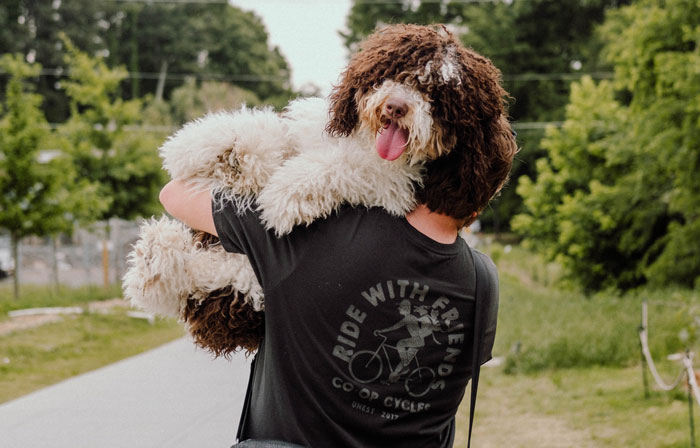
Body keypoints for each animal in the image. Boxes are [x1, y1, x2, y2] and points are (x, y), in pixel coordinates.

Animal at [124, 23, 520, 356]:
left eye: (438, 97)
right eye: (396, 73)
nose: (397, 106)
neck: (365, 142)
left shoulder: (395, 186)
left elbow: (343, 167)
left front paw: (285, 193)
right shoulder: (308, 133)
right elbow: (273, 135)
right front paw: (211, 147)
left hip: (244, 281)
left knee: (216, 278)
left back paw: (156, 261)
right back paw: (156, 255)